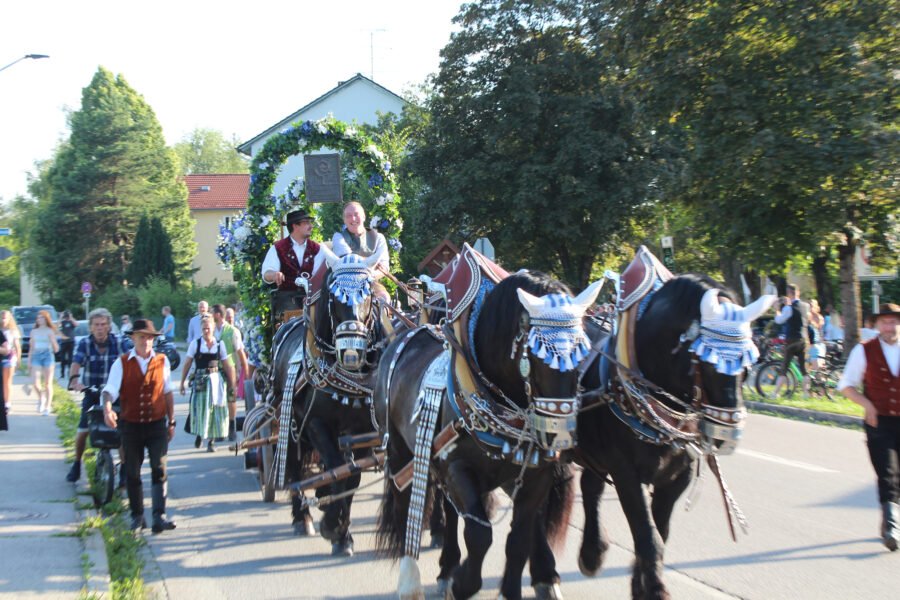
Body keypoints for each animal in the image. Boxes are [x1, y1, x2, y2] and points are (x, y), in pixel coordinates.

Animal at [272, 251, 388, 556]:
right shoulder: (316, 424)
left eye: (369, 296)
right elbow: (337, 471)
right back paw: (302, 517)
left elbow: (351, 475)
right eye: (335, 300)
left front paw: (341, 532)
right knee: (293, 466)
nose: (351, 353)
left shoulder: (363, 433)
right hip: (288, 423)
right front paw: (332, 526)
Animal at [376, 270, 600, 600]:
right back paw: (411, 581)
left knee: (450, 509)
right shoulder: (458, 467)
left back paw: (448, 567)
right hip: (400, 450)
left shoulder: (535, 478)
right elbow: (480, 534)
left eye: (583, 351)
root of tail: (406, 336)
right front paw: (464, 583)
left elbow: (518, 541)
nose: (559, 438)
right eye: (539, 353)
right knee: (406, 504)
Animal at [576, 274, 772, 600]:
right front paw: (655, 589)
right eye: (709, 361)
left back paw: (592, 552)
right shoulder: (625, 473)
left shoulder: (676, 477)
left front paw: (641, 586)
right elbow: (648, 536)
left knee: (589, 487)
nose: (728, 436)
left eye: (748, 362)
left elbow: (661, 533)